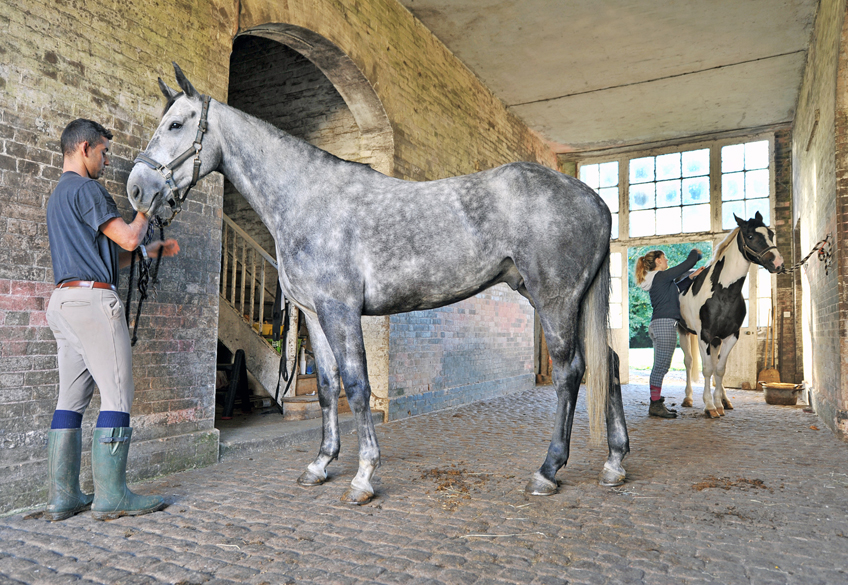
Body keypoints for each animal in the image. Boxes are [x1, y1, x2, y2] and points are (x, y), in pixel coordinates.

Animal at [127, 62, 628, 502]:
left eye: (176, 124)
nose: (136, 188)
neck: (308, 198)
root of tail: (594, 200)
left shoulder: (341, 308)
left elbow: (357, 384)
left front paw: (363, 476)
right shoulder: (313, 313)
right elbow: (327, 386)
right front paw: (320, 464)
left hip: (554, 299)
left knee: (571, 372)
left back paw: (548, 471)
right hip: (565, 298)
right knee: (609, 361)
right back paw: (614, 463)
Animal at [680, 212, 784, 418]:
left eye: (771, 234)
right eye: (750, 236)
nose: (778, 263)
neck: (723, 293)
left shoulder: (730, 336)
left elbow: (720, 369)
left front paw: (719, 403)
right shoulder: (705, 336)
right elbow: (707, 369)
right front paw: (709, 406)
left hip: (715, 341)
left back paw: (724, 400)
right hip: (683, 332)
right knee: (688, 362)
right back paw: (688, 398)